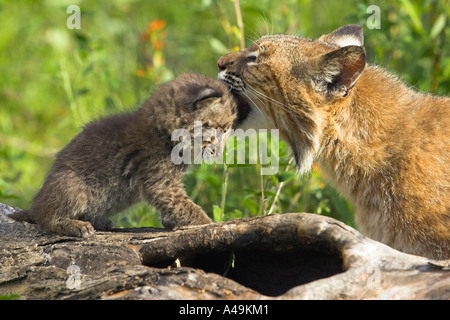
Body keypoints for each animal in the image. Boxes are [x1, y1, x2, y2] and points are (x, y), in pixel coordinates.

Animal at [10, 73, 237, 238]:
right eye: (219, 130)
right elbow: (186, 206)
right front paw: (211, 224)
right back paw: (75, 225)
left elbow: (179, 206)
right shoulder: (161, 184)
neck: (164, 131)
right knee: (45, 218)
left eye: (227, 130)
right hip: (73, 185)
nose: (219, 152)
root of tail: (35, 204)